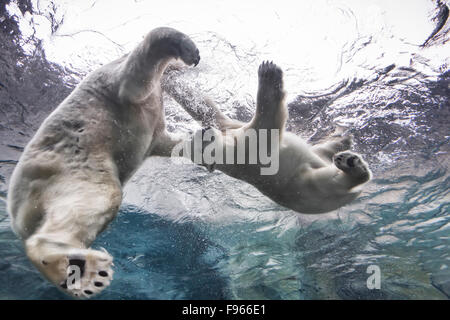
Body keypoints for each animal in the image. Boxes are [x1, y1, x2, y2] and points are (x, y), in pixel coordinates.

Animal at [6, 26, 200, 298]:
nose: (193, 69)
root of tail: (16, 211)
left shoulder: (155, 134)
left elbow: (167, 142)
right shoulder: (115, 83)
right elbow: (138, 74)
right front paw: (187, 48)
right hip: (73, 163)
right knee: (98, 197)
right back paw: (81, 273)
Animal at [165, 61, 372, 214]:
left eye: (196, 135)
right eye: (201, 144)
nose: (205, 131)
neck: (230, 153)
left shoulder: (231, 129)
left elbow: (212, 113)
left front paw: (169, 78)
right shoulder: (250, 150)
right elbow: (267, 123)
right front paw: (269, 75)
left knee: (320, 152)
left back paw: (341, 140)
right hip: (310, 188)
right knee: (331, 180)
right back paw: (350, 164)